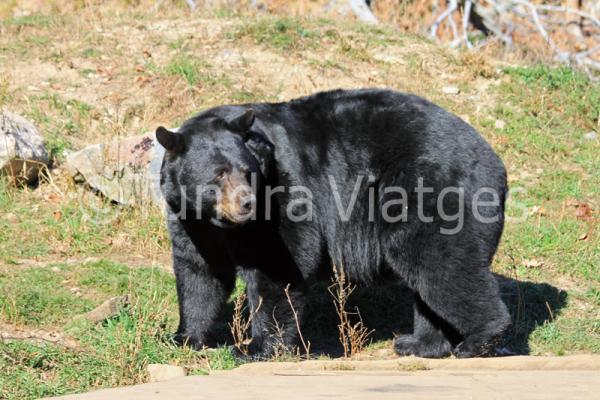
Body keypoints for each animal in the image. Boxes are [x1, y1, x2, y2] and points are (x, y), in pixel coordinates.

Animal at [156, 89, 510, 358]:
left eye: (247, 171)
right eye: (218, 174)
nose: (247, 203)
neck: (220, 222)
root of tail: (496, 162)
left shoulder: (284, 192)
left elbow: (279, 262)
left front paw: (255, 347)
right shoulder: (190, 221)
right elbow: (200, 273)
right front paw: (183, 337)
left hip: (432, 191)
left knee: (443, 265)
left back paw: (478, 340)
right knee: (428, 280)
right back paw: (419, 344)